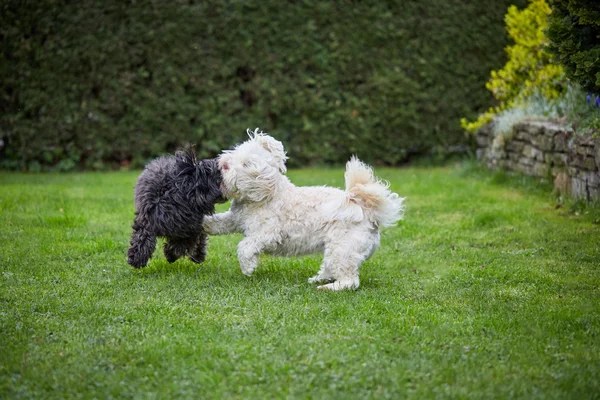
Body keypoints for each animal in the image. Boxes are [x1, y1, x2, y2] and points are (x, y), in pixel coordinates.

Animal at [204, 131, 406, 290]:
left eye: (246, 164)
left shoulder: (268, 233)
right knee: (332, 268)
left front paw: (248, 267)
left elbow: (245, 246)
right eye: (236, 154)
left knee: (350, 281)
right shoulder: (235, 219)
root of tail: (367, 209)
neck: (265, 196)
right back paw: (319, 278)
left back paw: (328, 287)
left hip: (343, 249)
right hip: (336, 250)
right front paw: (204, 224)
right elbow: (220, 223)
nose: (223, 164)